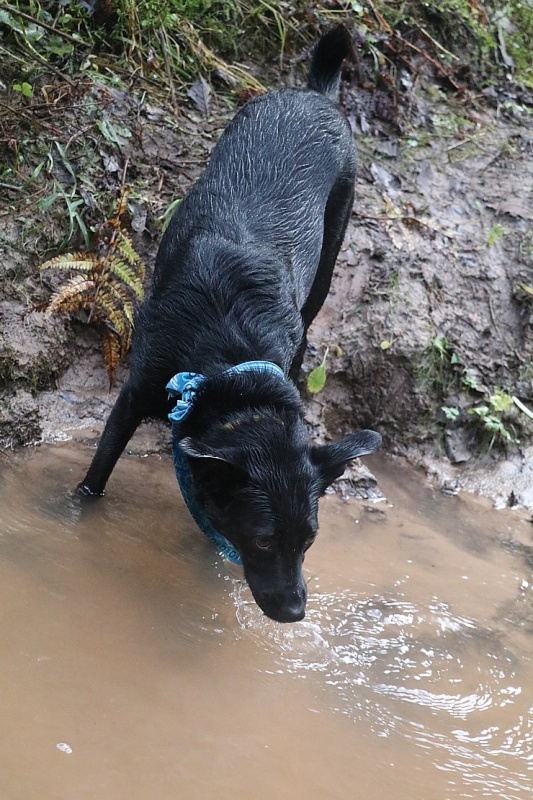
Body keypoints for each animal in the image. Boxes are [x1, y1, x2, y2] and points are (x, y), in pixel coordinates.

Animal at [77, 25, 380, 620]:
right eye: (263, 540)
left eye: (309, 541)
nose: (295, 613)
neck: (229, 357)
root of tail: (315, 94)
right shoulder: (133, 395)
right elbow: (98, 473)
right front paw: (71, 516)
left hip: (329, 261)